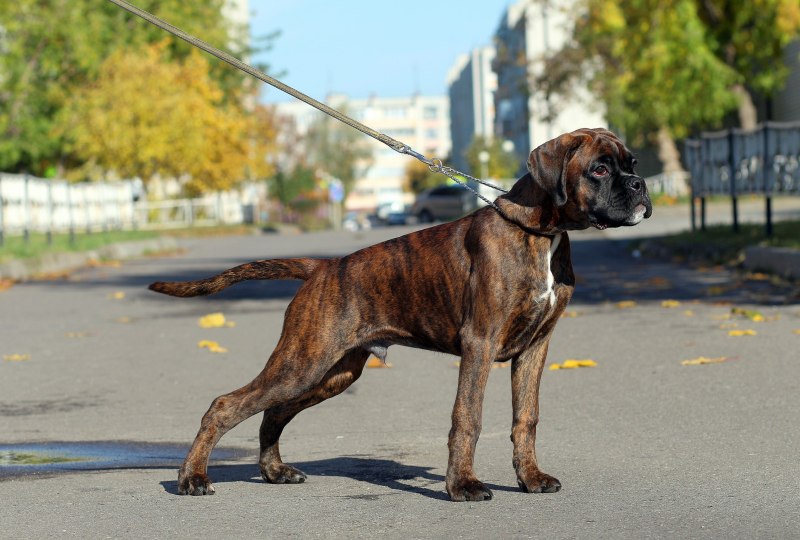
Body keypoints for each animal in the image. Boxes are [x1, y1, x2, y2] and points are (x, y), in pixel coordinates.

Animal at [150, 127, 648, 502]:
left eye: (633, 164)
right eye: (600, 168)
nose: (640, 186)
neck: (539, 234)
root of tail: (323, 267)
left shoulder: (535, 348)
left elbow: (526, 418)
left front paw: (530, 479)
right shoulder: (480, 343)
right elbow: (467, 416)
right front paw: (462, 485)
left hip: (332, 373)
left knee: (274, 412)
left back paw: (275, 471)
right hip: (302, 362)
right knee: (226, 405)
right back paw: (192, 478)